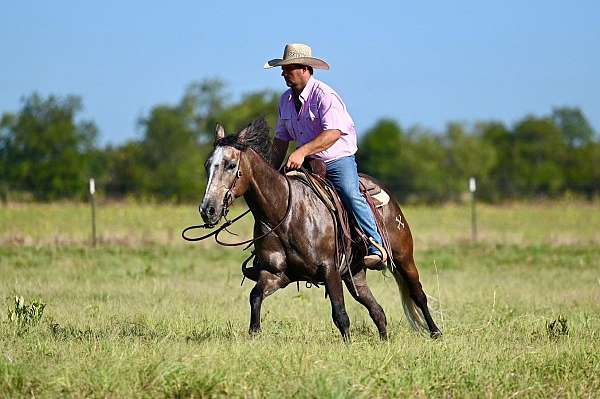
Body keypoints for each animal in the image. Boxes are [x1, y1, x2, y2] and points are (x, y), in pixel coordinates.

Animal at [197, 118, 440, 340]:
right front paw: (254, 333)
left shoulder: (329, 269)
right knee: (377, 310)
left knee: (418, 294)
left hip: (403, 257)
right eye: (207, 165)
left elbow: (340, 315)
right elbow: (255, 296)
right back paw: (384, 340)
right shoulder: (276, 274)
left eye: (230, 164)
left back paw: (436, 332)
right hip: (354, 274)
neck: (285, 213)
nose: (208, 209)